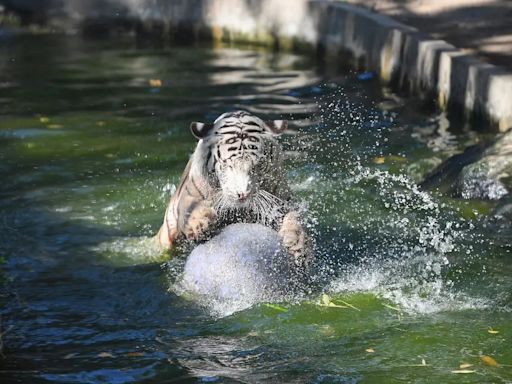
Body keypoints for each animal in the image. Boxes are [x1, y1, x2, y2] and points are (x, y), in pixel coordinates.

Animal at [155, 111, 312, 266]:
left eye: (257, 166)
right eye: (228, 165)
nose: (243, 194)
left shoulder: (283, 200)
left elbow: (295, 217)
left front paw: (297, 242)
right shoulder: (189, 194)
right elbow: (189, 208)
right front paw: (199, 224)